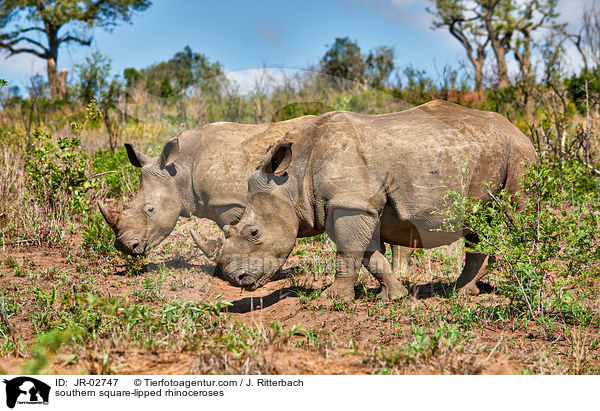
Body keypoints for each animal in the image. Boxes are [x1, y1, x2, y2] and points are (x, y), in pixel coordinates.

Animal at [195, 101, 536, 300]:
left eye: (254, 233)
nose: (235, 280)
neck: (292, 181)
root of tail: (515, 127)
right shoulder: (352, 205)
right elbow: (369, 255)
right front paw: (394, 297)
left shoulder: (351, 203)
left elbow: (348, 253)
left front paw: (332, 301)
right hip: (493, 150)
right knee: (479, 225)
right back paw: (464, 293)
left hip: (519, 152)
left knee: (518, 214)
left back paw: (518, 284)